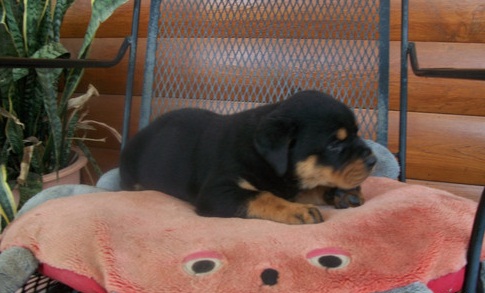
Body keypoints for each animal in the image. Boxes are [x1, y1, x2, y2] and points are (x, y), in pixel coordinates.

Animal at [119, 90, 376, 224]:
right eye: (334, 144)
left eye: (356, 132)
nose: (373, 161)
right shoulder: (217, 193)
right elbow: (262, 196)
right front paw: (297, 211)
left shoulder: (291, 185)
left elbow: (310, 188)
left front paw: (341, 194)